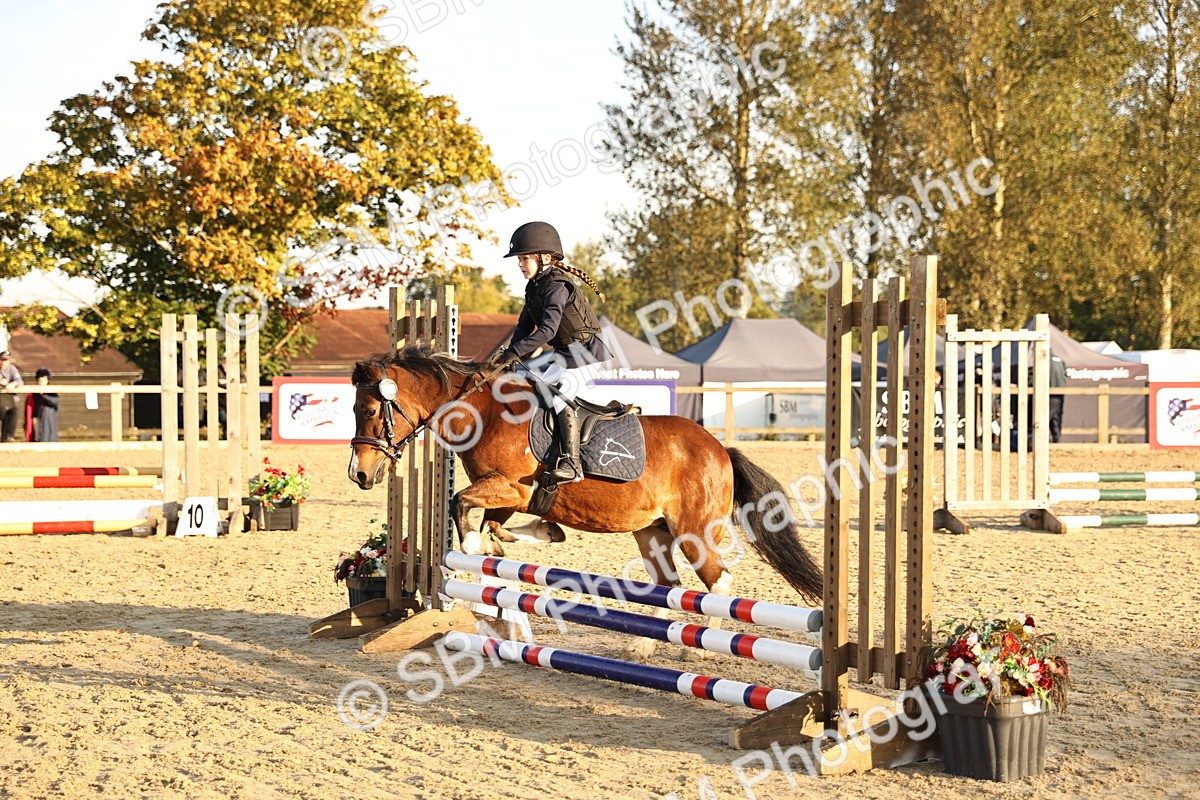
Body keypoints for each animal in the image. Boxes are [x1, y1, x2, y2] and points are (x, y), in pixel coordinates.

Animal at [347, 346, 822, 652]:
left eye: (368, 411)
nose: (359, 475)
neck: (483, 411)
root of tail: (720, 450)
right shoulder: (508, 496)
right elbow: (497, 530)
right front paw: (524, 542)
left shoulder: (511, 487)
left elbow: (462, 507)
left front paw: (470, 553)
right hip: (652, 533)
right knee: (669, 585)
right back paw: (642, 649)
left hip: (695, 531)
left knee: (718, 583)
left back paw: (697, 649)